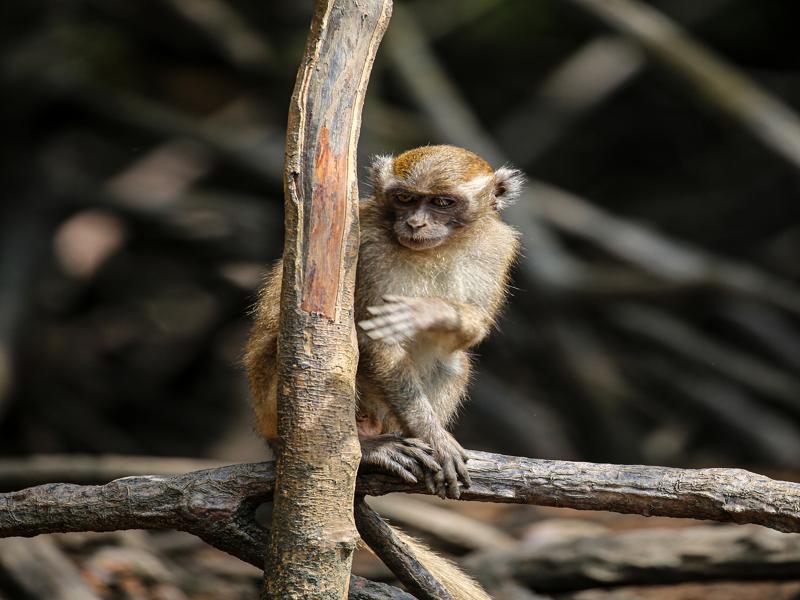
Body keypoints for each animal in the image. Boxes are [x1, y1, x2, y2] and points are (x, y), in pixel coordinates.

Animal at [245, 145, 522, 600]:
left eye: (442, 202)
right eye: (405, 198)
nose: (416, 223)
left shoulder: (496, 248)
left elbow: (472, 329)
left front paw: (431, 312)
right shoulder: (369, 246)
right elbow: (371, 341)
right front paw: (432, 436)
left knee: (454, 361)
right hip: (272, 407)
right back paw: (367, 449)